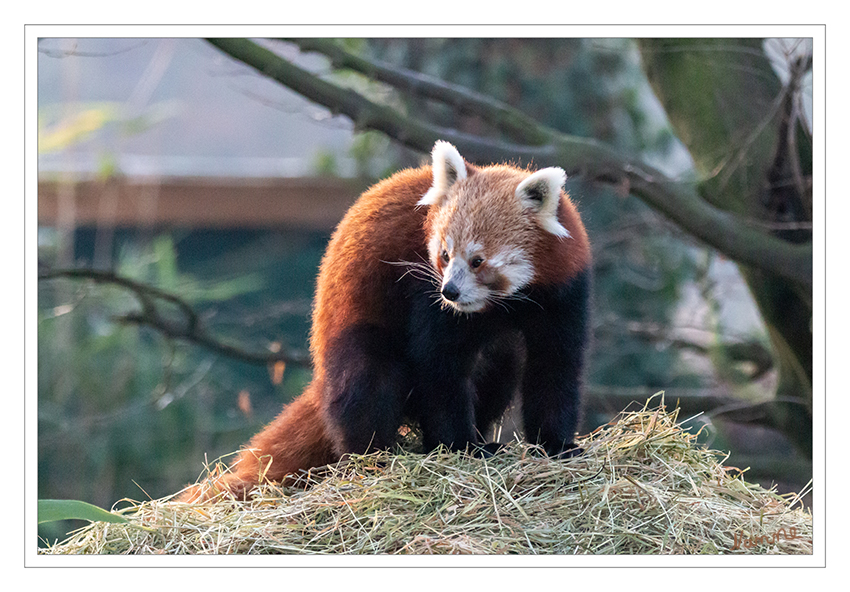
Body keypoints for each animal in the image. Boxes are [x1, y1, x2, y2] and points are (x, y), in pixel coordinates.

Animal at [179, 141, 588, 502]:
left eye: (477, 261)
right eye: (444, 254)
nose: (450, 291)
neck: (499, 306)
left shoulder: (562, 292)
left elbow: (555, 366)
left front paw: (556, 445)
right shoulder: (424, 291)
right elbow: (438, 369)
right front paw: (461, 448)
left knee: (500, 369)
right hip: (355, 331)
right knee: (367, 384)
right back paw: (376, 456)